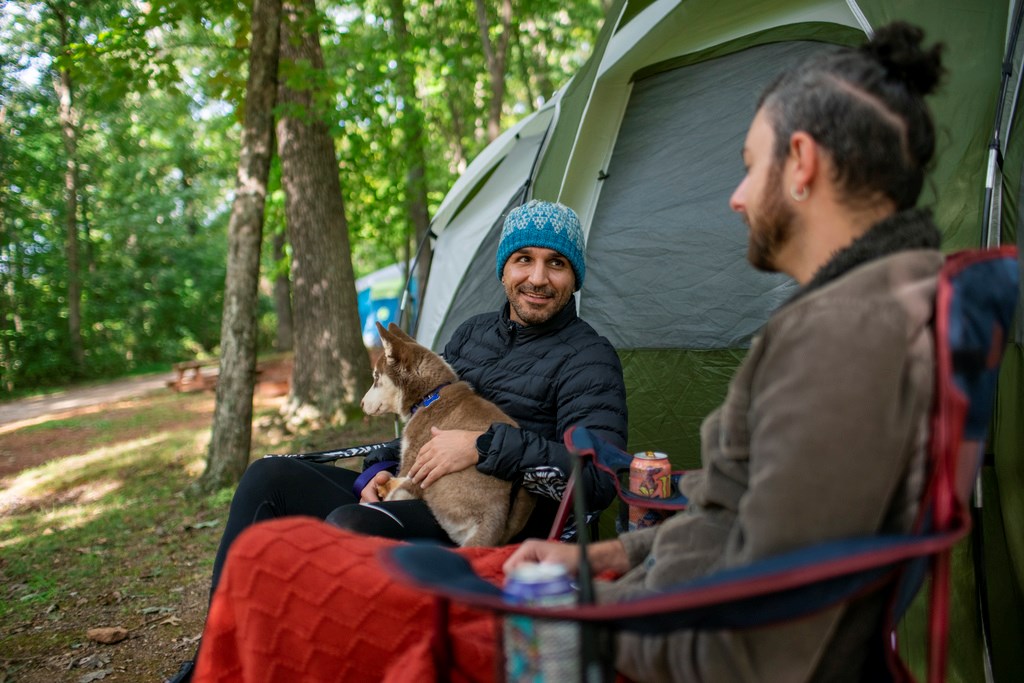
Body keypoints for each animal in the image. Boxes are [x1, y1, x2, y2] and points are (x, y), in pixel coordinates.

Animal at [360, 323, 536, 548]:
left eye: (376, 378)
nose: (361, 404)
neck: (429, 395)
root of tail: (495, 516)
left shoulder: (413, 458)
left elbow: (402, 477)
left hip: (434, 477)